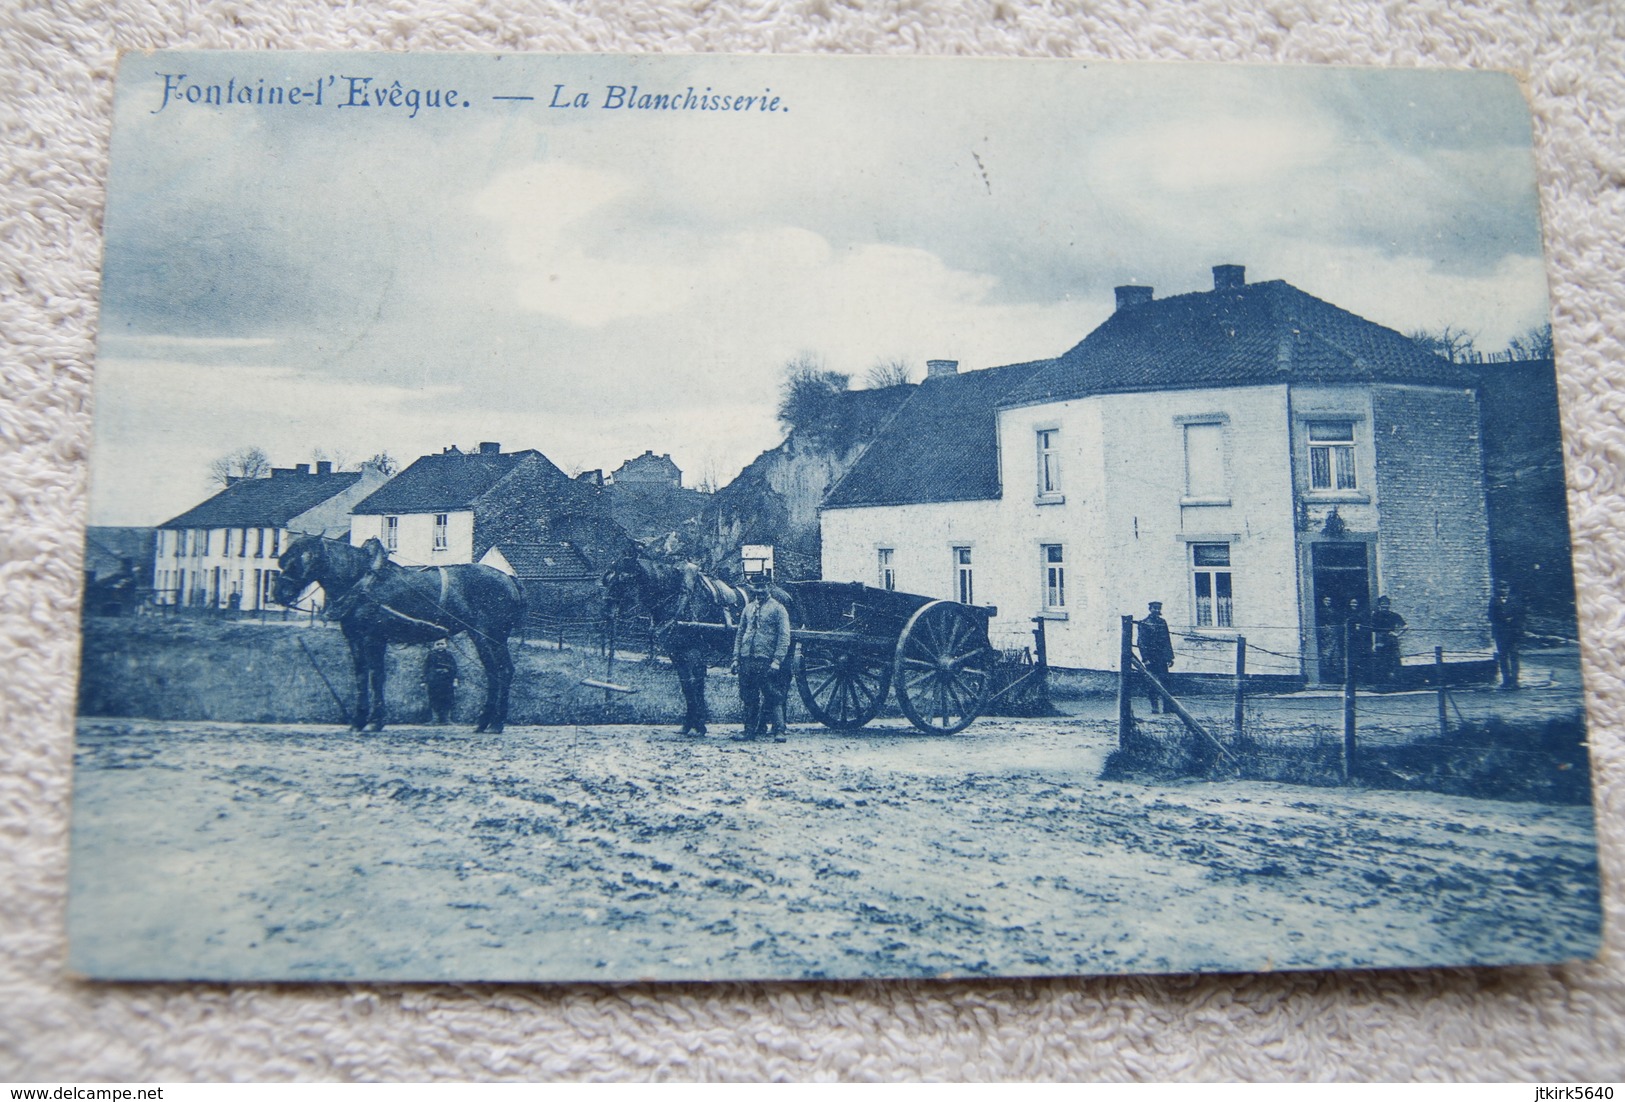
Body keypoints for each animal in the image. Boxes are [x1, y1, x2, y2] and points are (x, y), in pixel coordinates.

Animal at [273, 536, 523, 734]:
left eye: (303, 559)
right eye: (285, 559)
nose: (278, 593)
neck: (363, 583)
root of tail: (509, 579)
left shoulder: (373, 638)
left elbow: (376, 676)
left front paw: (375, 721)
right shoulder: (355, 638)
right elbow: (361, 677)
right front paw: (359, 720)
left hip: (488, 635)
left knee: (502, 671)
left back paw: (494, 723)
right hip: (484, 636)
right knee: (497, 672)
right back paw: (486, 723)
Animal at [604, 552, 780, 741]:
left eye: (623, 578)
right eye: (608, 576)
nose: (606, 608)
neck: (677, 598)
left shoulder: (693, 652)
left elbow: (693, 685)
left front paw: (698, 725)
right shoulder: (677, 653)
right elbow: (688, 687)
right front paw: (690, 724)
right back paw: (764, 727)